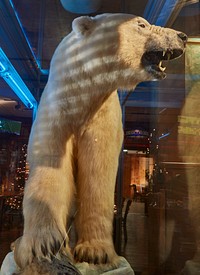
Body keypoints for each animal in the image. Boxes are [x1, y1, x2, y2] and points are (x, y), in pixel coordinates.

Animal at [14, 12, 188, 274]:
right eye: (142, 24)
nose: (183, 36)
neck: (82, 93)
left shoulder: (102, 116)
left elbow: (98, 171)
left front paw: (95, 252)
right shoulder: (56, 111)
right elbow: (49, 167)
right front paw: (43, 246)